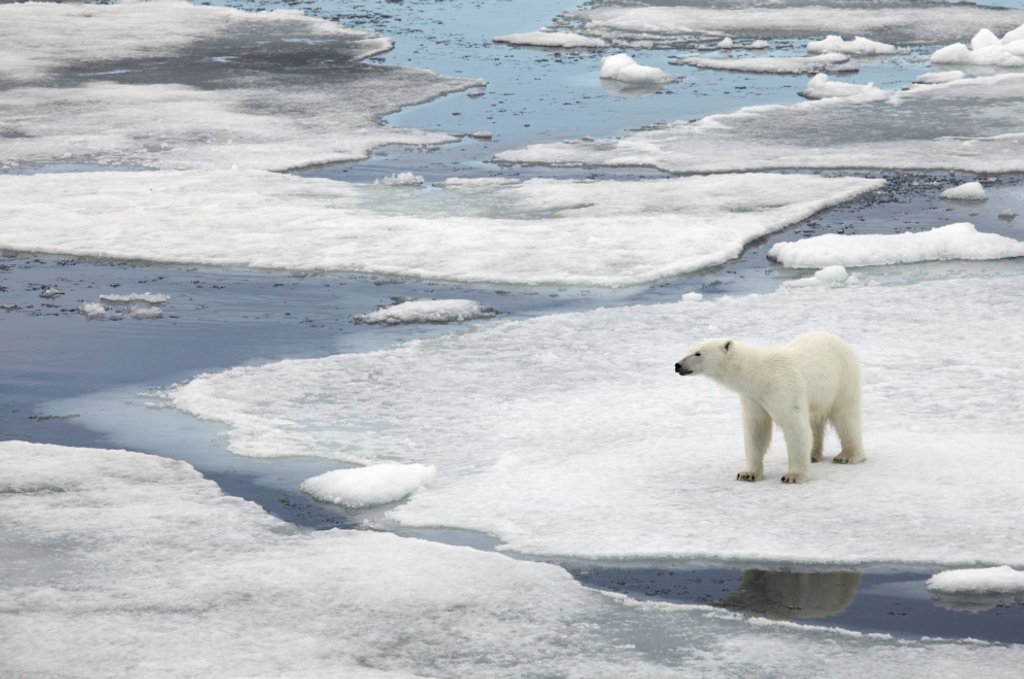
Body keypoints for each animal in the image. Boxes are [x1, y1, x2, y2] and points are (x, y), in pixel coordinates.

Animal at [679, 333, 864, 483]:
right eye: (689, 350)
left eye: (698, 353)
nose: (677, 365)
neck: (760, 375)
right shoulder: (753, 398)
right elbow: (756, 430)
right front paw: (747, 474)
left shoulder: (784, 388)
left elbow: (794, 426)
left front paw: (793, 476)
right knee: (815, 420)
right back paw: (813, 454)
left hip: (843, 380)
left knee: (846, 417)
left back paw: (847, 456)